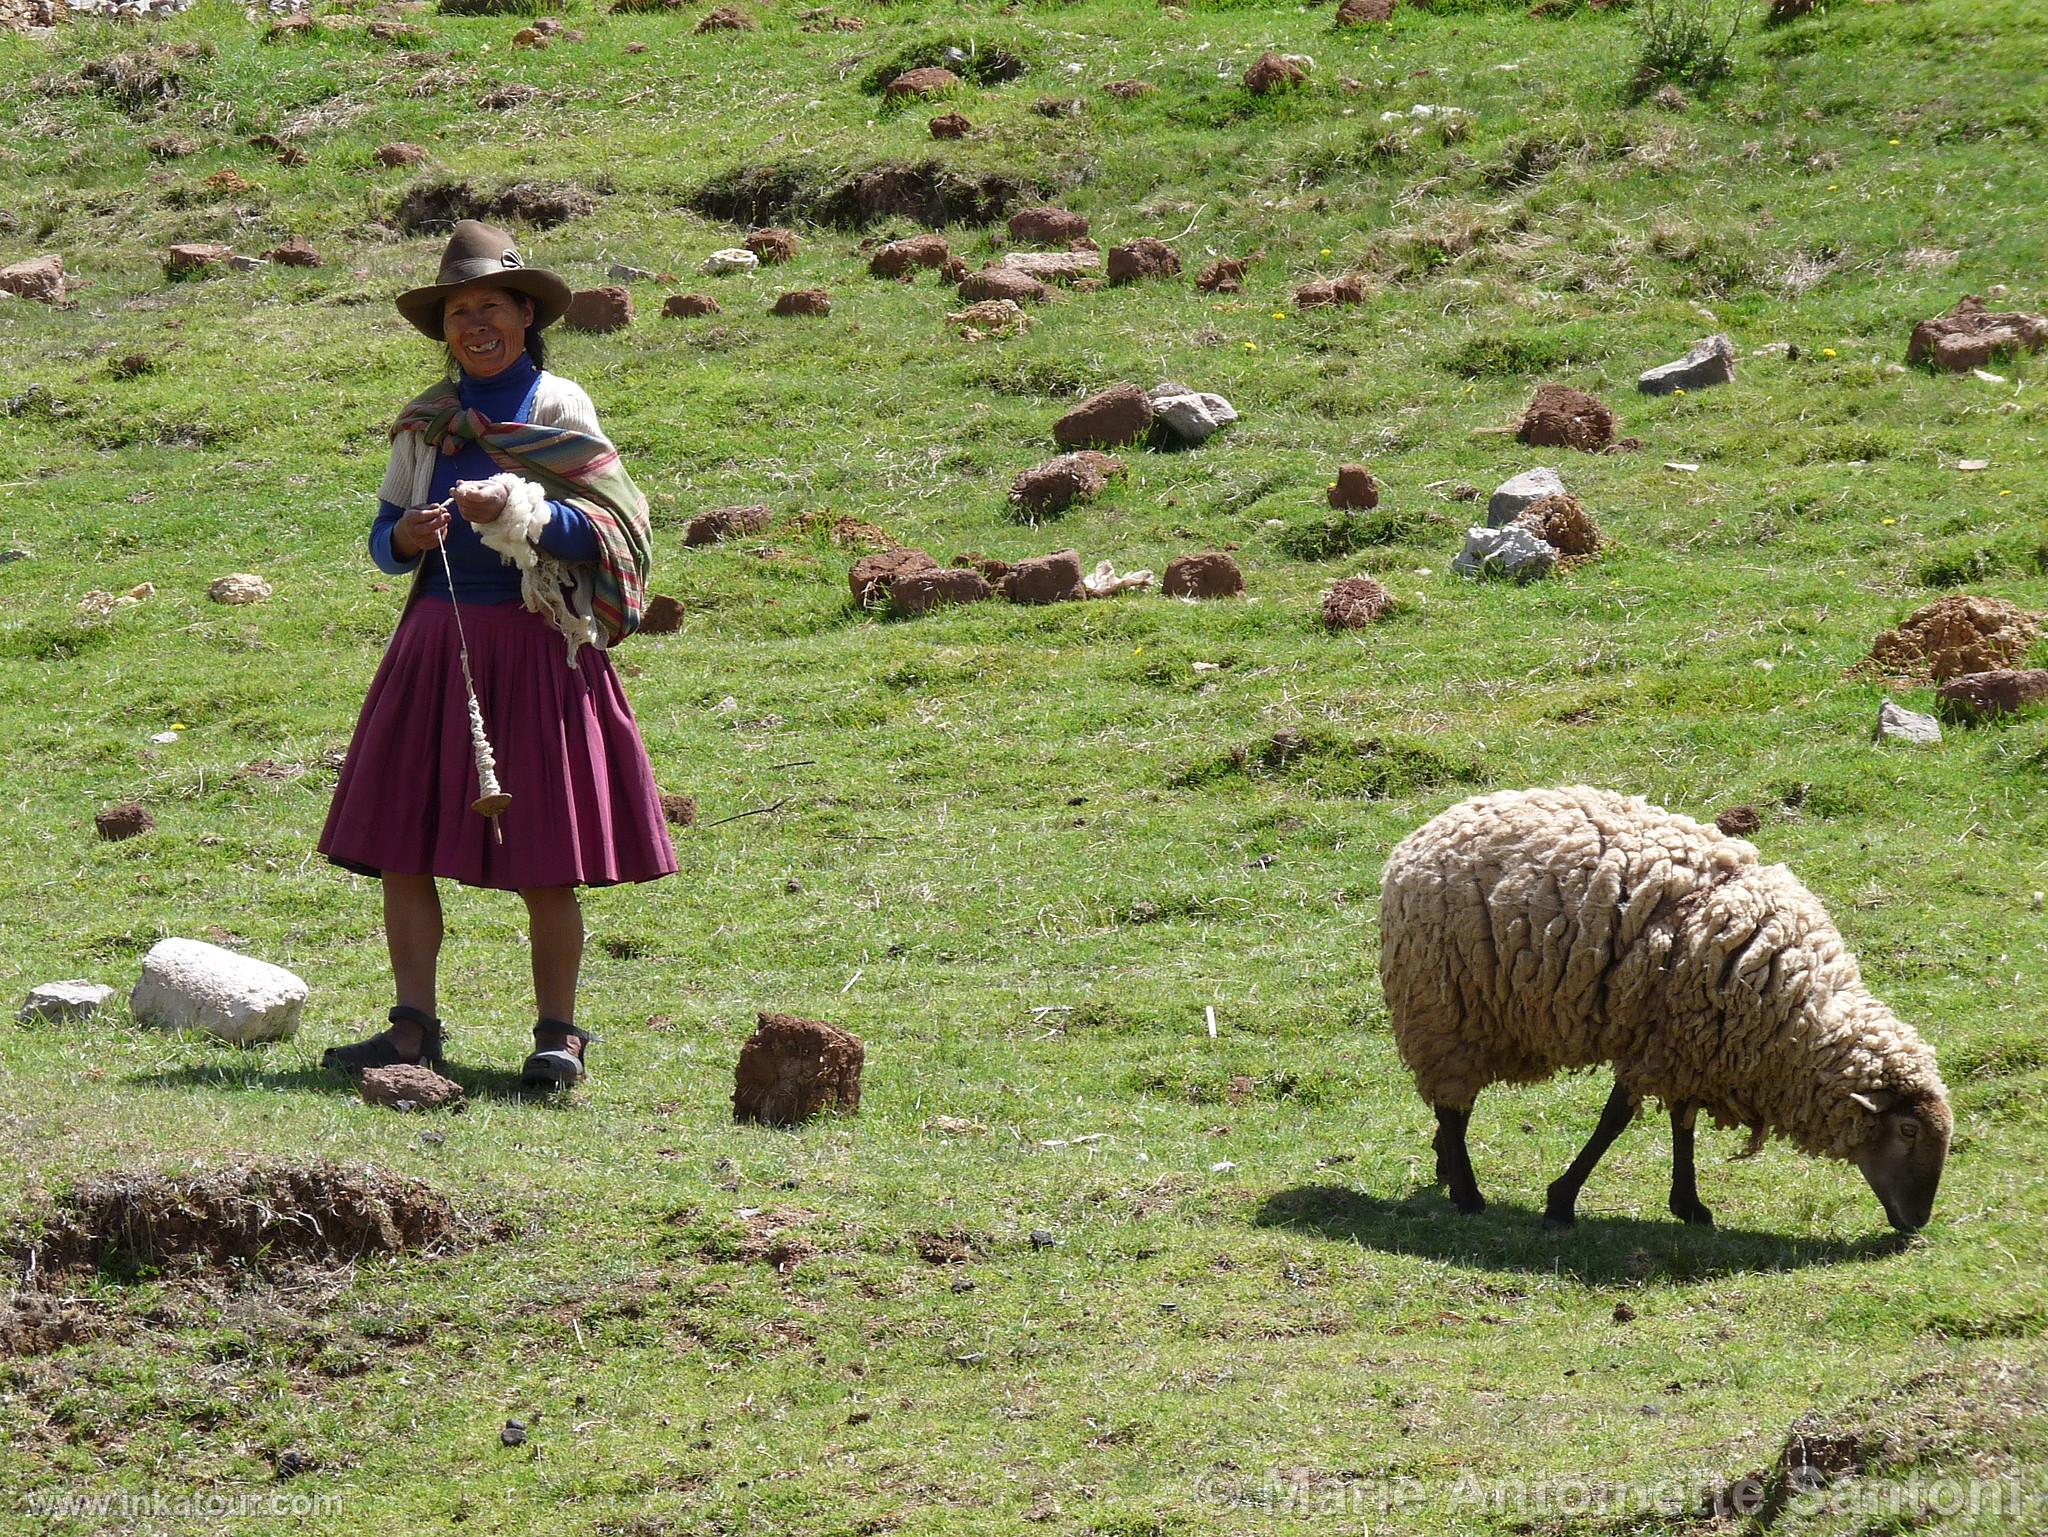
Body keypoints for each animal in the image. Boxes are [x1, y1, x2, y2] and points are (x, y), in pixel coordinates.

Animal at [1376, 786, 1949, 1237]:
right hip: (1444, 1009)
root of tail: (1422, 836)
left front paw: (1689, 1204)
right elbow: (1616, 1121)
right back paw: (1467, 1193)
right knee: (1452, 1105)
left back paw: (1446, 1168)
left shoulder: (1689, 1041)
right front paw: (1562, 1201)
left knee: (1453, 1105)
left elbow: (1682, 1121)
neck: (1795, 1009)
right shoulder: (1663, 1039)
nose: (1917, 1223)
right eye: (1908, 1131)